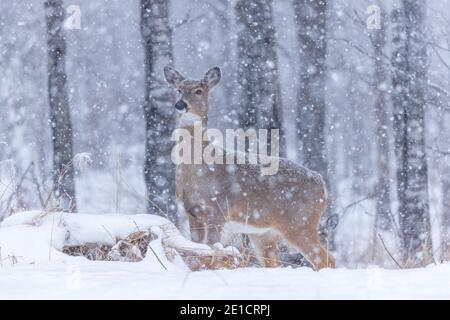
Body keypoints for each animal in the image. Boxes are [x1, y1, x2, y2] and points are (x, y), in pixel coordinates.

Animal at [163, 65, 336, 270]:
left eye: (199, 90)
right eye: (178, 90)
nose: (180, 104)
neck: (199, 170)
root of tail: (321, 183)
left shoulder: (218, 211)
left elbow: (213, 252)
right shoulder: (192, 212)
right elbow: (197, 254)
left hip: (300, 222)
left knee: (326, 260)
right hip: (265, 234)